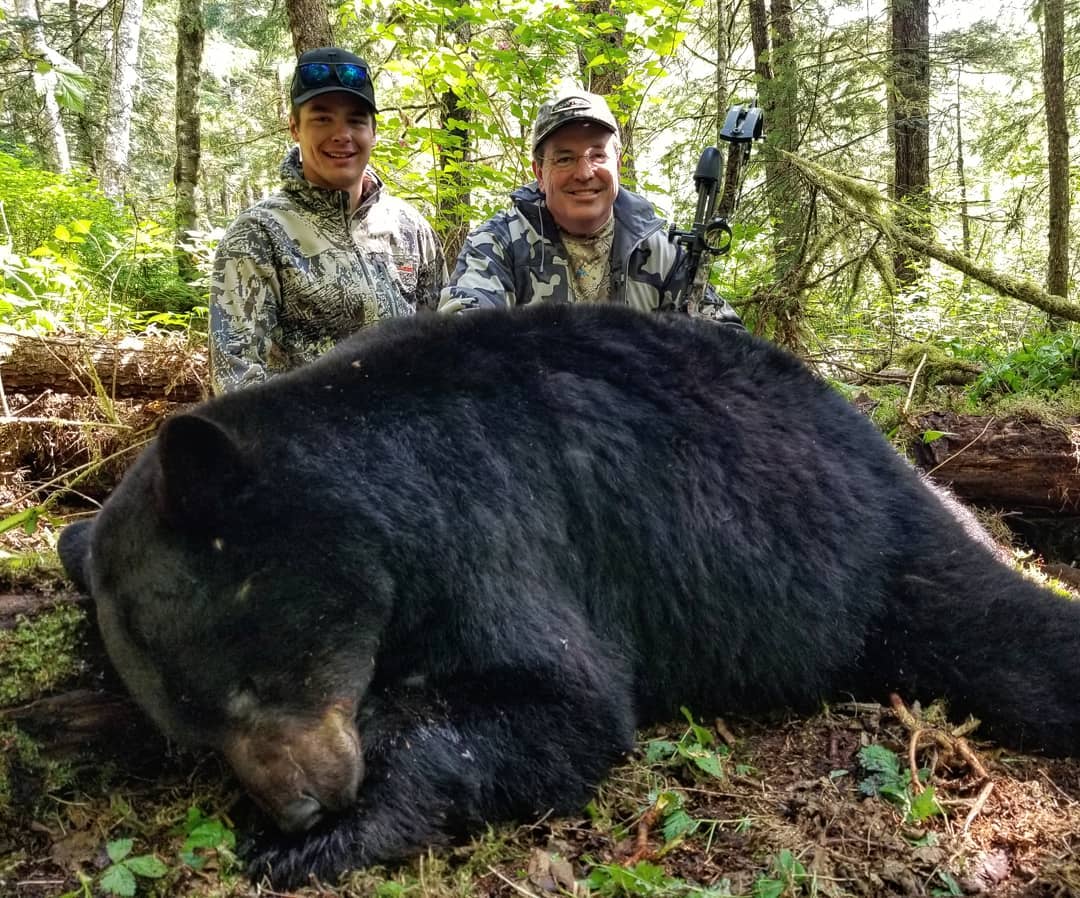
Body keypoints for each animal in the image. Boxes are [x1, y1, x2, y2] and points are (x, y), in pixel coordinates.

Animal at [61, 302, 1080, 886]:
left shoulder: (499, 522)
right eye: (195, 731)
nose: (307, 804)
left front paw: (315, 842)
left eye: (251, 681)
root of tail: (891, 453)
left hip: (871, 559)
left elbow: (562, 706)